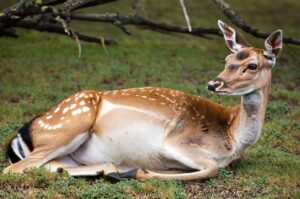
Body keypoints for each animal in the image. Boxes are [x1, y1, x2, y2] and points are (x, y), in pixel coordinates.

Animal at [2, 20, 282, 182]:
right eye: (226, 60)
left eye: (252, 65)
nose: (215, 83)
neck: (232, 139)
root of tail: (21, 135)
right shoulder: (176, 142)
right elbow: (212, 168)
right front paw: (143, 171)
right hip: (70, 123)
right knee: (15, 169)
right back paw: (122, 170)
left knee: (49, 166)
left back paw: (110, 170)